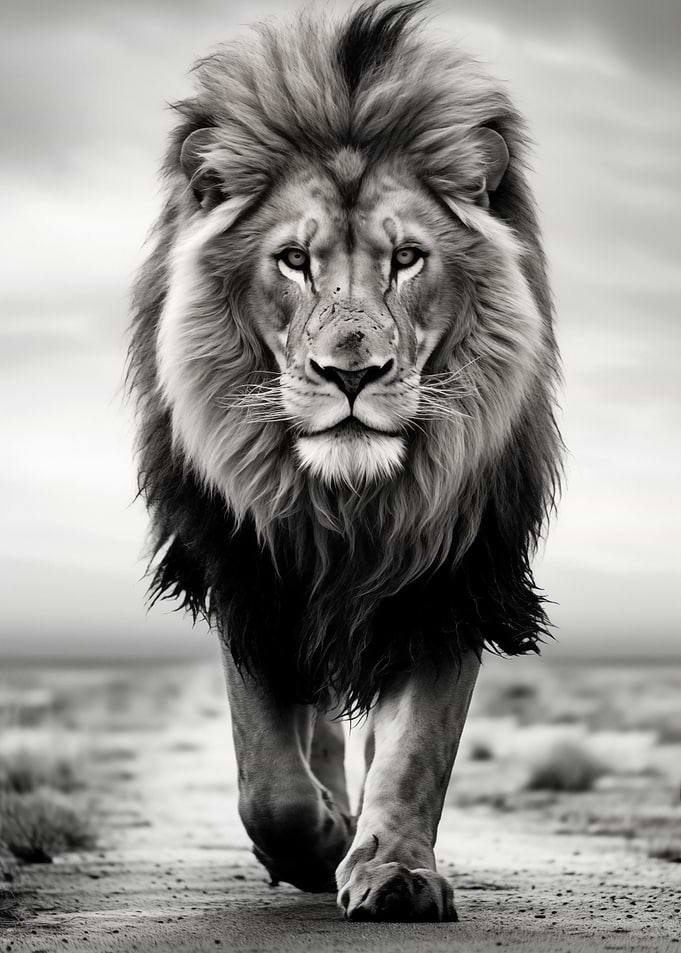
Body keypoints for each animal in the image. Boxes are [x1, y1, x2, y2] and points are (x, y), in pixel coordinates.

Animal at [128, 0, 562, 923]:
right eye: (294, 260)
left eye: (406, 259)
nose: (351, 373)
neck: (350, 507)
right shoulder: (248, 566)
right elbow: (268, 777)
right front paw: (317, 840)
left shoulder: (452, 571)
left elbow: (416, 748)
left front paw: (392, 868)